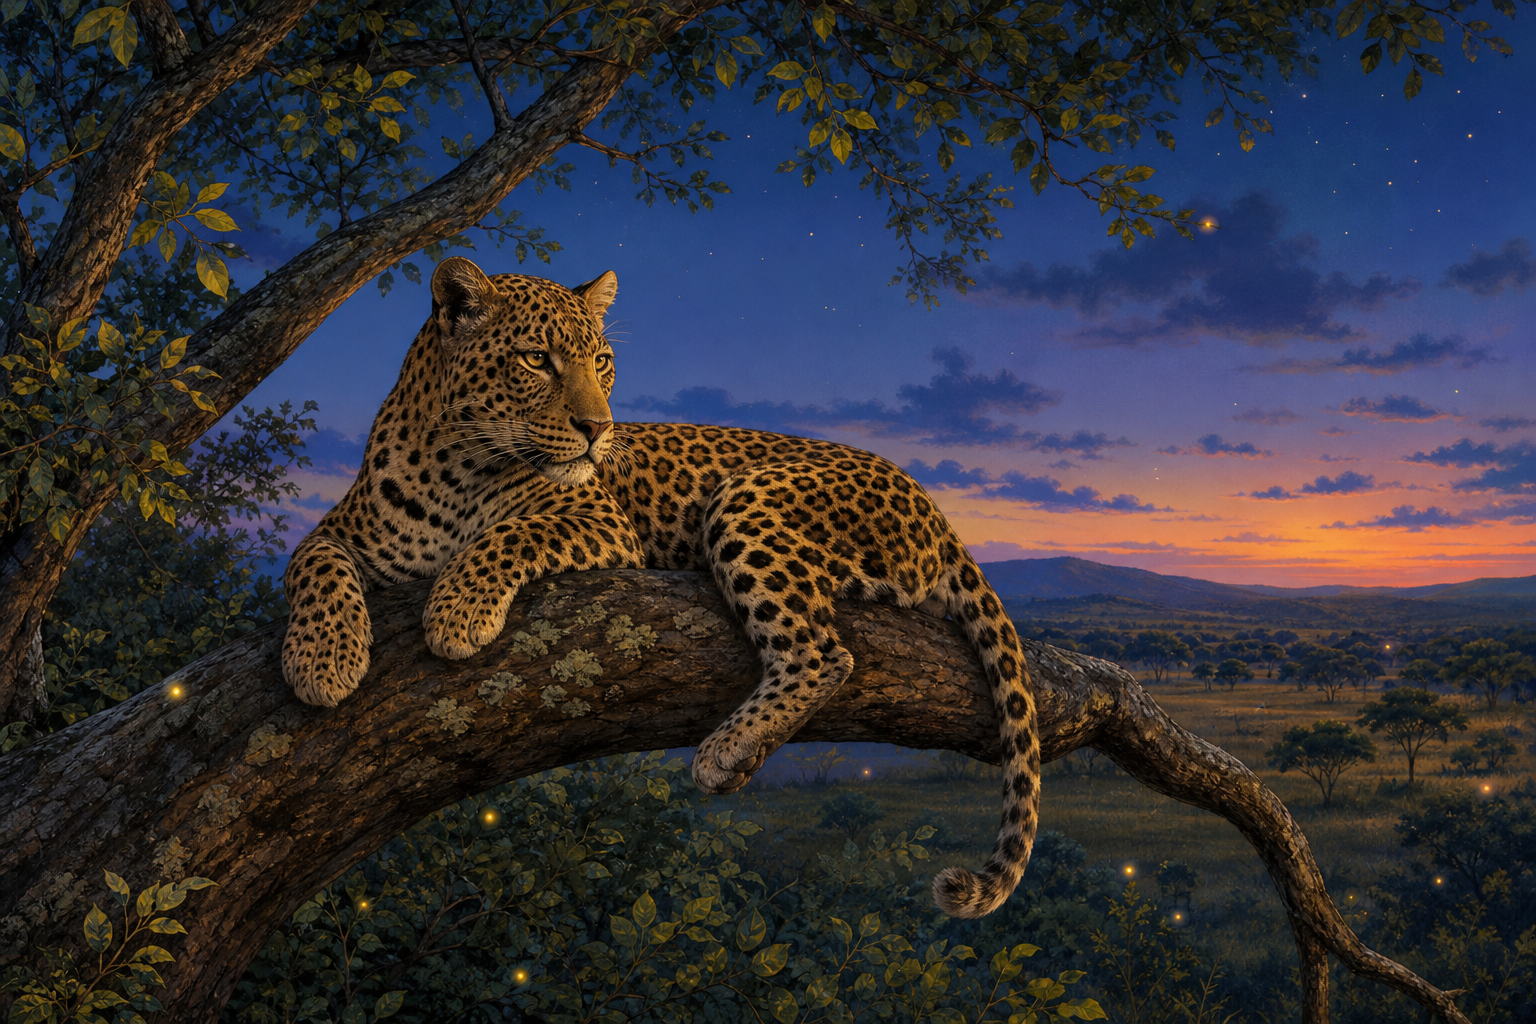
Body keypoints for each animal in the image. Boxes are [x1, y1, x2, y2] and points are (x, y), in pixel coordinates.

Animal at [281, 256, 1041, 918]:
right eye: (536, 360)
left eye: (602, 362)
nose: (598, 429)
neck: (454, 464)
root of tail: (933, 506)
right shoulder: (337, 530)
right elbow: (315, 568)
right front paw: (324, 660)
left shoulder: (596, 520)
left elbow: (508, 534)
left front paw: (456, 611)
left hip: (746, 500)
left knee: (823, 653)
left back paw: (726, 751)